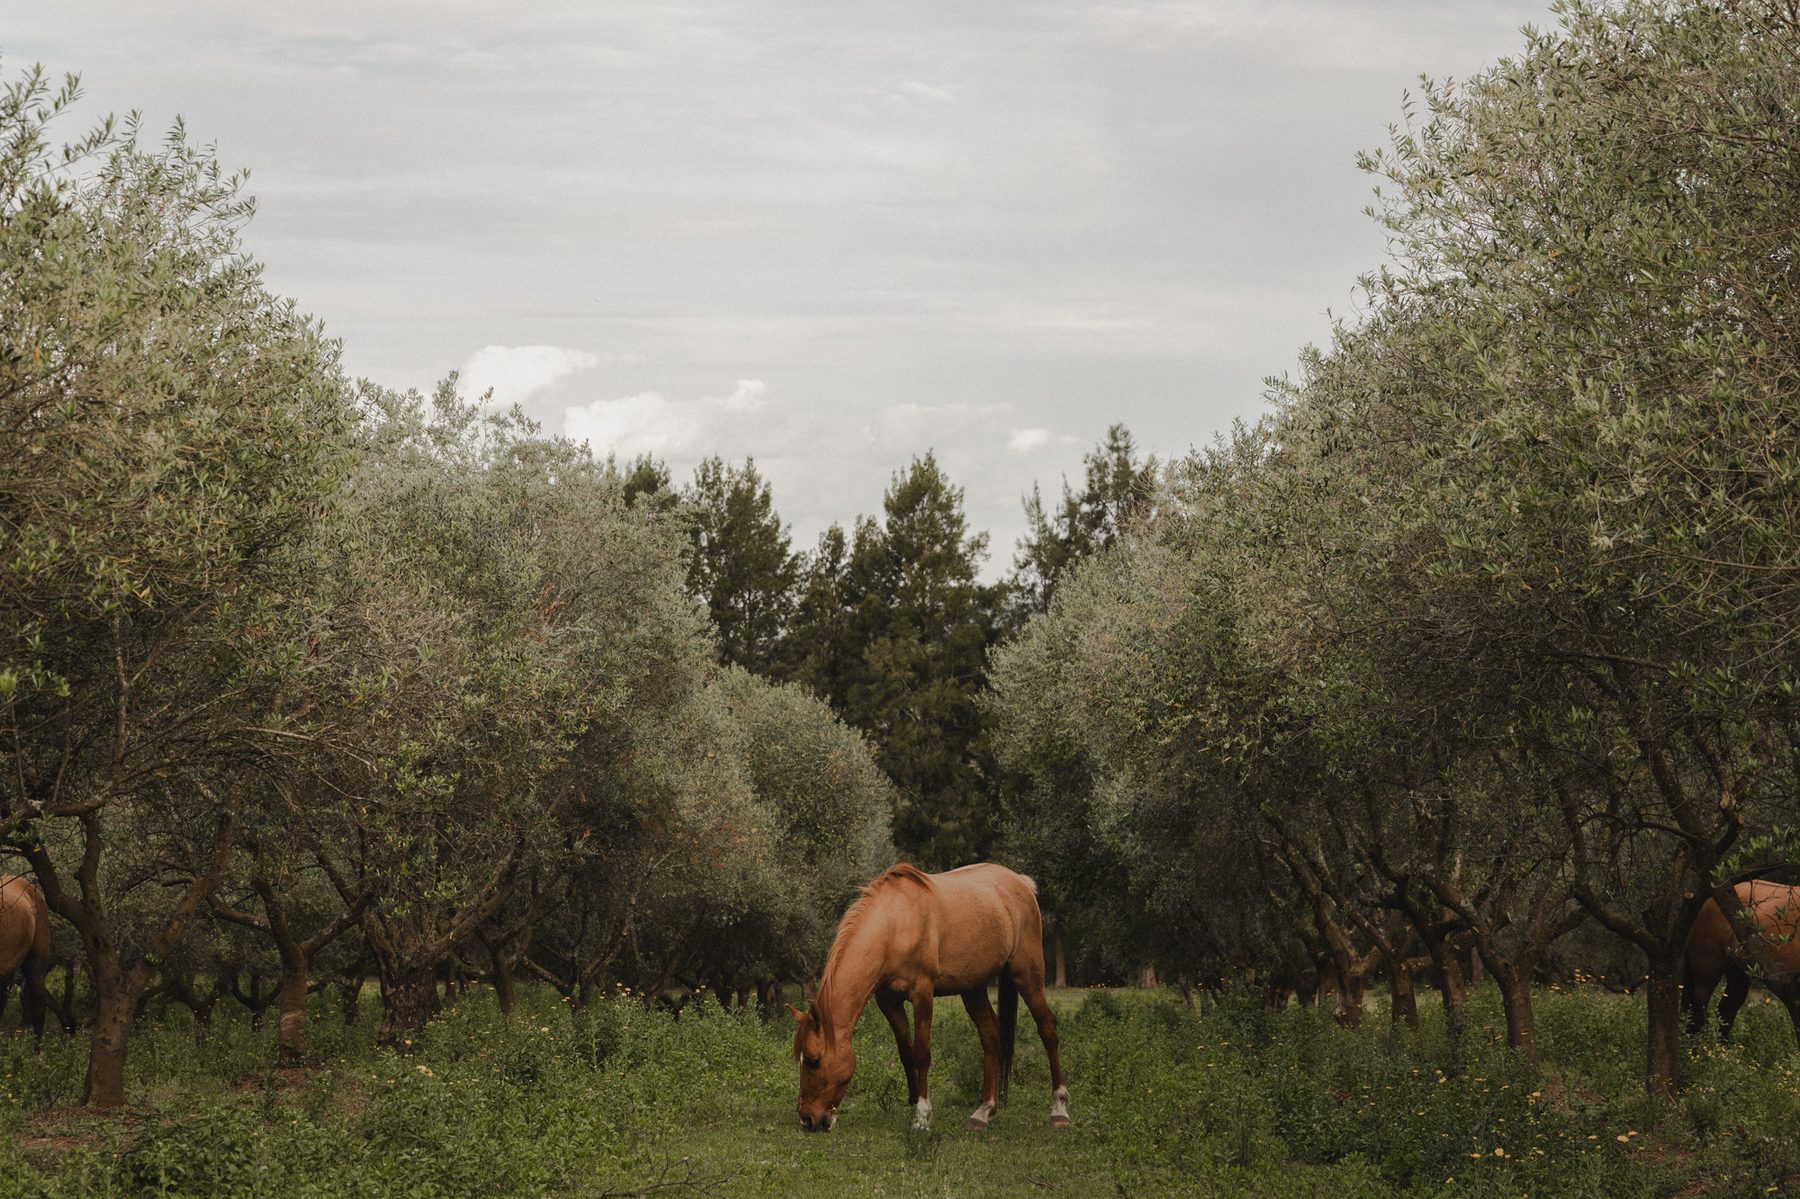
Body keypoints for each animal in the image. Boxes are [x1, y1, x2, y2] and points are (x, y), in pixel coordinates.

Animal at [789, 862, 1070, 1133]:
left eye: (813, 1061)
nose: (807, 1119)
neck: (895, 925)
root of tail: (1021, 882)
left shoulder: (922, 993)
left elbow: (922, 1053)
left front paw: (922, 1117)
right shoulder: (888, 1000)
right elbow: (906, 1051)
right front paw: (913, 1101)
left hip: (1027, 975)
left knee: (1047, 1029)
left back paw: (1059, 1110)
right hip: (973, 989)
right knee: (991, 1036)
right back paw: (984, 1112)